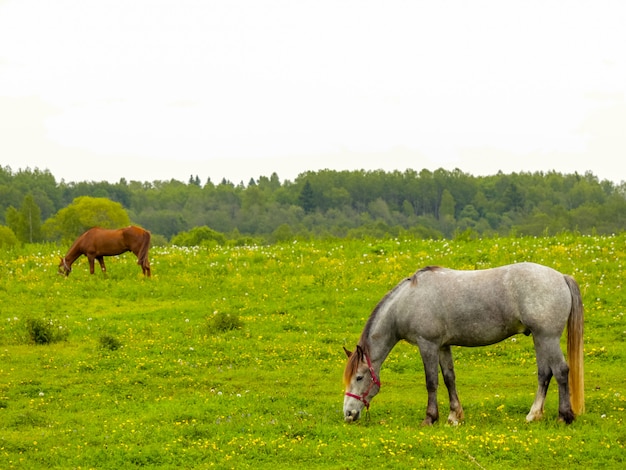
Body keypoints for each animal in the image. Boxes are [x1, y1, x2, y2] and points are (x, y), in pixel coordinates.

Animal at [342, 264, 580, 426]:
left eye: (359, 377)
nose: (348, 414)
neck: (407, 302)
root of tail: (561, 277)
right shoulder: (442, 346)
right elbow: (449, 379)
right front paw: (454, 416)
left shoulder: (427, 345)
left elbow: (431, 382)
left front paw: (430, 418)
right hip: (539, 338)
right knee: (544, 374)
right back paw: (533, 415)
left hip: (547, 338)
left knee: (561, 371)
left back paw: (564, 416)